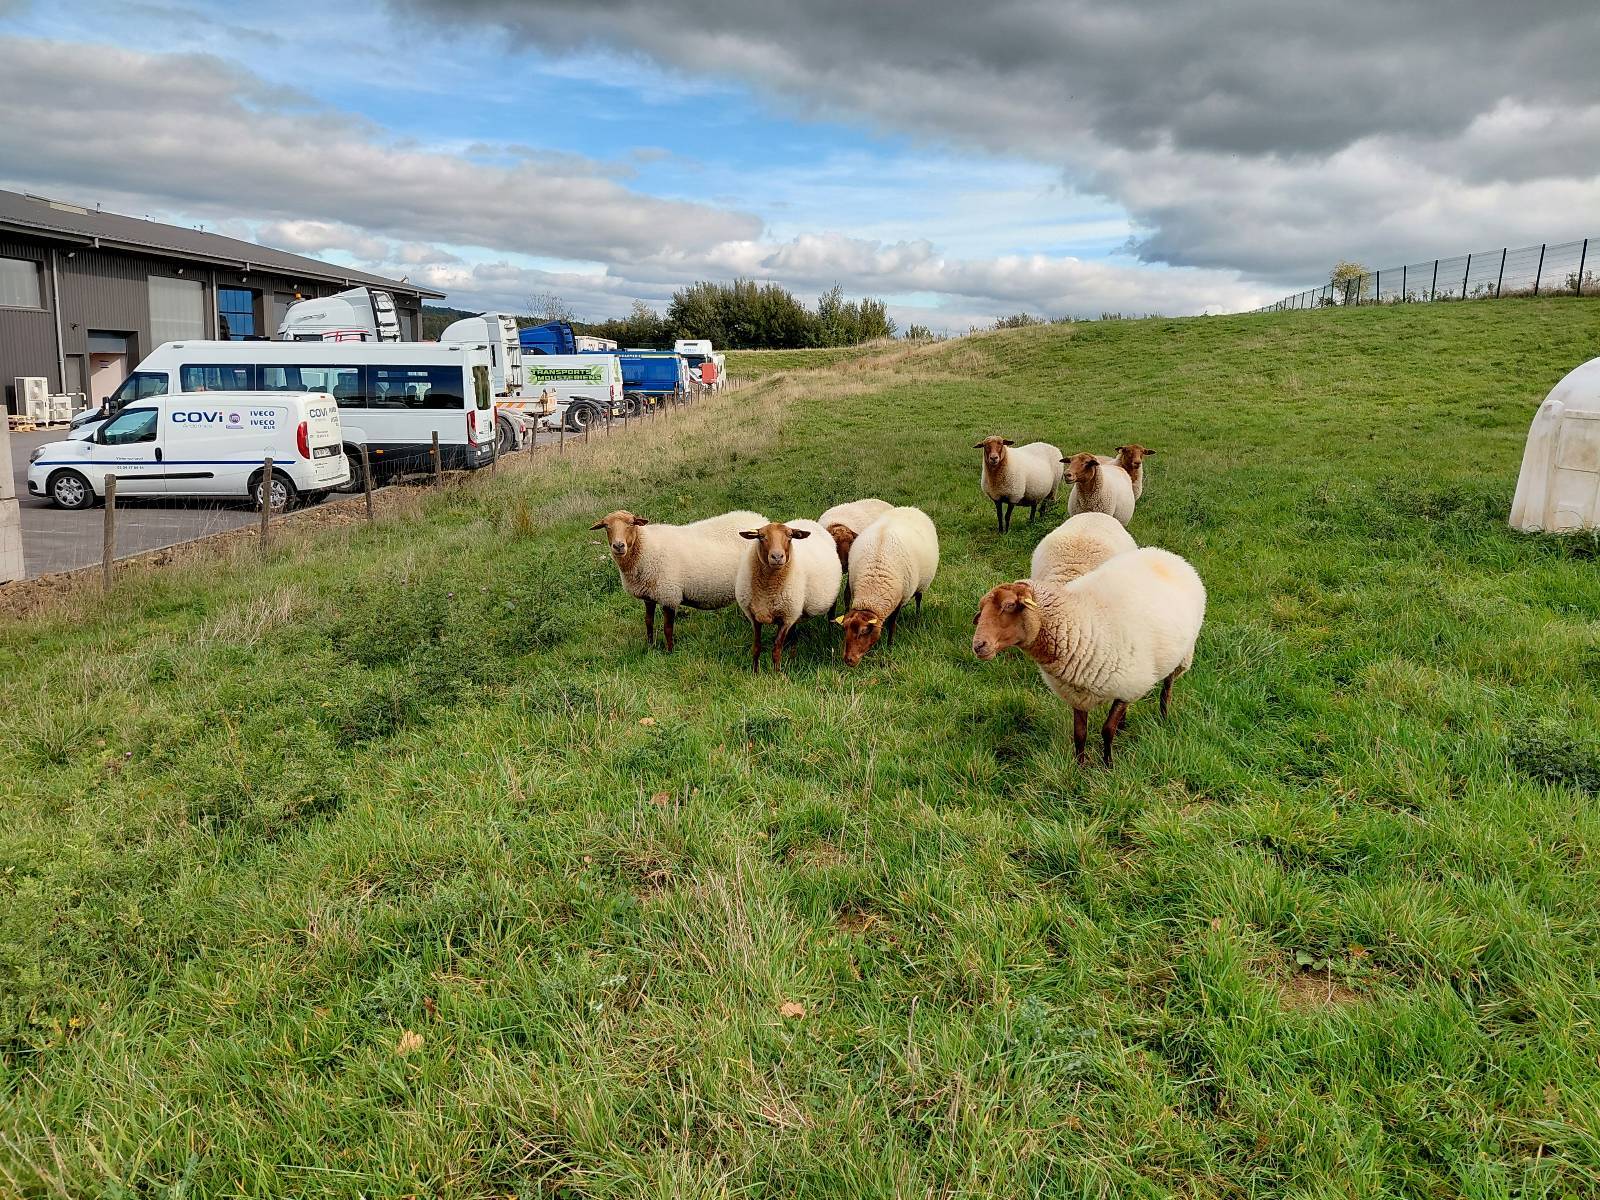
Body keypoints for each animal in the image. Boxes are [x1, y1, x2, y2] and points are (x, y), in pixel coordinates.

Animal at [591, 508, 765, 651]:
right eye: (606, 526)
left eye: (631, 523)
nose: (618, 546)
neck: (646, 547)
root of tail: (761, 520)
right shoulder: (649, 595)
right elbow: (648, 621)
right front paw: (650, 646)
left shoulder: (669, 594)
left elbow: (668, 628)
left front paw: (670, 652)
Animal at [735, 519, 843, 672]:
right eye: (761, 536)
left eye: (790, 536)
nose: (777, 557)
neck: (767, 589)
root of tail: (808, 520)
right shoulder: (754, 616)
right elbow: (756, 647)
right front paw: (755, 672)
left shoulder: (786, 618)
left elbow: (776, 650)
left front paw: (776, 674)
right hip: (795, 607)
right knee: (794, 634)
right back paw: (793, 655)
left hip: (830, 595)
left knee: (831, 617)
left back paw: (830, 638)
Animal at [835, 506, 939, 666]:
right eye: (845, 629)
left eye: (864, 632)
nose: (848, 660)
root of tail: (910, 507)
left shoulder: (900, 599)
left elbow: (892, 624)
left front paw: (889, 646)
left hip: (921, 583)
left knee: (918, 599)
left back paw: (917, 620)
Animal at [971, 548, 1206, 765]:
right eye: (981, 610)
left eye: (1009, 605)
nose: (978, 645)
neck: (1077, 621)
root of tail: (1169, 555)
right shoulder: (1078, 692)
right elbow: (1079, 734)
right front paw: (1079, 767)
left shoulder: (1127, 685)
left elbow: (1107, 730)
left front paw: (1108, 765)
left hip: (1181, 656)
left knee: (1167, 689)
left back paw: (1163, 718)